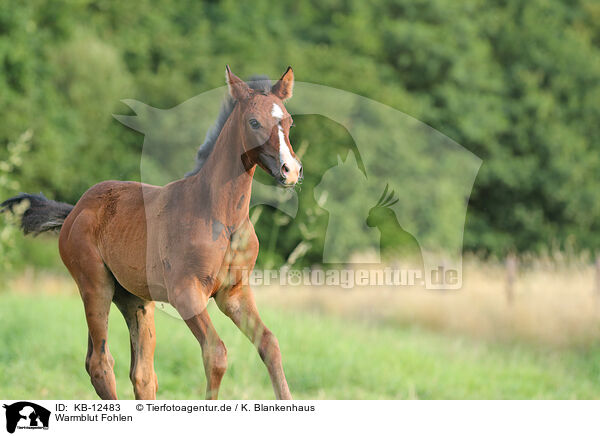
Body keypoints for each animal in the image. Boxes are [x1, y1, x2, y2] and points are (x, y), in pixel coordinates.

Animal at [0, 65, 300, 398]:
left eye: (289, 121)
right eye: (253, 122)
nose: (291, 170)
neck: (221, 218)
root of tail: (75, 210)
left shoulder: (234, 293)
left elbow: (269, 344)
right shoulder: (186, 292)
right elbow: (216, 353)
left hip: (135, 300)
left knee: (141, 373)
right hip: (95, 285)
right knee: (100, 363)